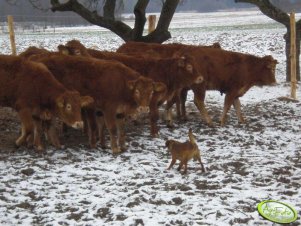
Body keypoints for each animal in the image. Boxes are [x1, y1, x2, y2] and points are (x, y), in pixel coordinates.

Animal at [31, 54, 165, 154]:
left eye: (151, 92)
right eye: (137, 91)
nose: (144, 108)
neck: (121, 84)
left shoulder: (120, 112)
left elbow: (121, 130)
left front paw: (122, 146)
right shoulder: (108, 110)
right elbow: (112, 129)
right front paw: (114, 148)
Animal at [62, 39, 203, 137]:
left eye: (196, 65)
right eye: (189, 67)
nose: (201, 78)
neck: (164, 72)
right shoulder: (153, 99)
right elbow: (154, 116)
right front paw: (154, 133)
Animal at [116, 41, 276, 125]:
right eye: (271, 68)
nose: (275, 82)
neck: (247, 66)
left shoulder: (236, 91)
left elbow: (237, 106)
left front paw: (242, 120)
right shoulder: (232, 90)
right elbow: (227, 105)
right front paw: (221, 121)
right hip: (200, 86)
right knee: (198, 101)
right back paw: (207, 120)